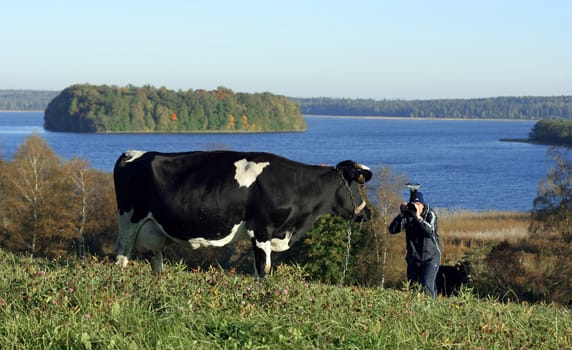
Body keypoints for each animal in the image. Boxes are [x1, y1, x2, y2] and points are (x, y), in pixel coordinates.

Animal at [113, 150, 374, 276]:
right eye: (356, 185)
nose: (368, 214)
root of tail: (132, 153)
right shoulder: (261, 228)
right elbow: (264, 269)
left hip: (154, 230)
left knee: (156, 261)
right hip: (128, 221)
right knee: (121, 258)